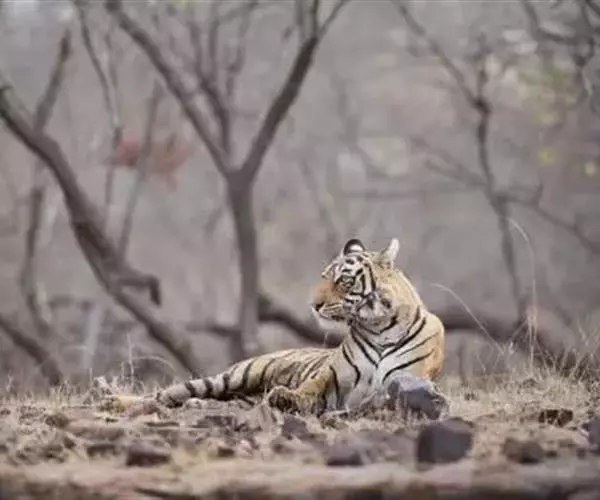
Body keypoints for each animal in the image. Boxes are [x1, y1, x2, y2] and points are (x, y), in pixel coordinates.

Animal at [101, 238, 446, 415]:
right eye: (324, 276)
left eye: (343, 280)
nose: (313, 304)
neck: (378, 326)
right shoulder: (332, 378)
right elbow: (309, 388)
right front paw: (286, 396)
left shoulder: (403, 379)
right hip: (231, 377)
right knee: (164, 395)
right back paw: (114, 400)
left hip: (240, 395)